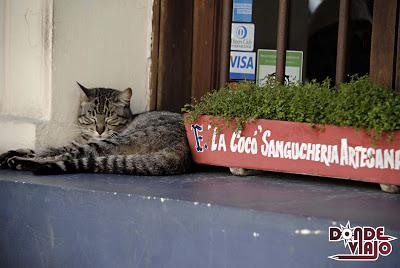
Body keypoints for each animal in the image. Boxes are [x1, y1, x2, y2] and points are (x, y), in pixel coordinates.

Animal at [0, 84, 192, 176]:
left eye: (110, 118)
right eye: (91, 117)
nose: (99, 130)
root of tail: (183, 152)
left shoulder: (76, 145)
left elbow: (48, 151)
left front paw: (14, 156)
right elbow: (39, 149)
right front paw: (10, 152)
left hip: (114, 142)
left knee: (64, 157)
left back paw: (19, 162)